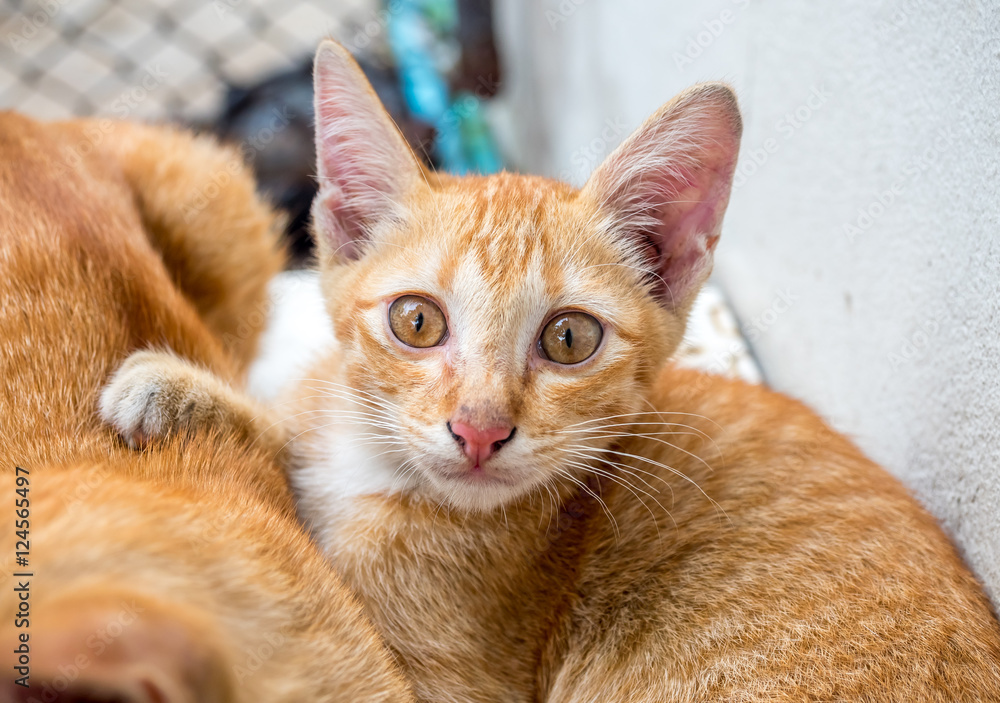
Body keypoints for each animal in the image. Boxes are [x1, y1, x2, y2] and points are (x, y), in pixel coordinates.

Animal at [101, 42, 1000, 703]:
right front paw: (179, 391)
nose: (479, 428)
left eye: (569, 338)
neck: (376, 474)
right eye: (417, 321)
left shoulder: (437, 681)